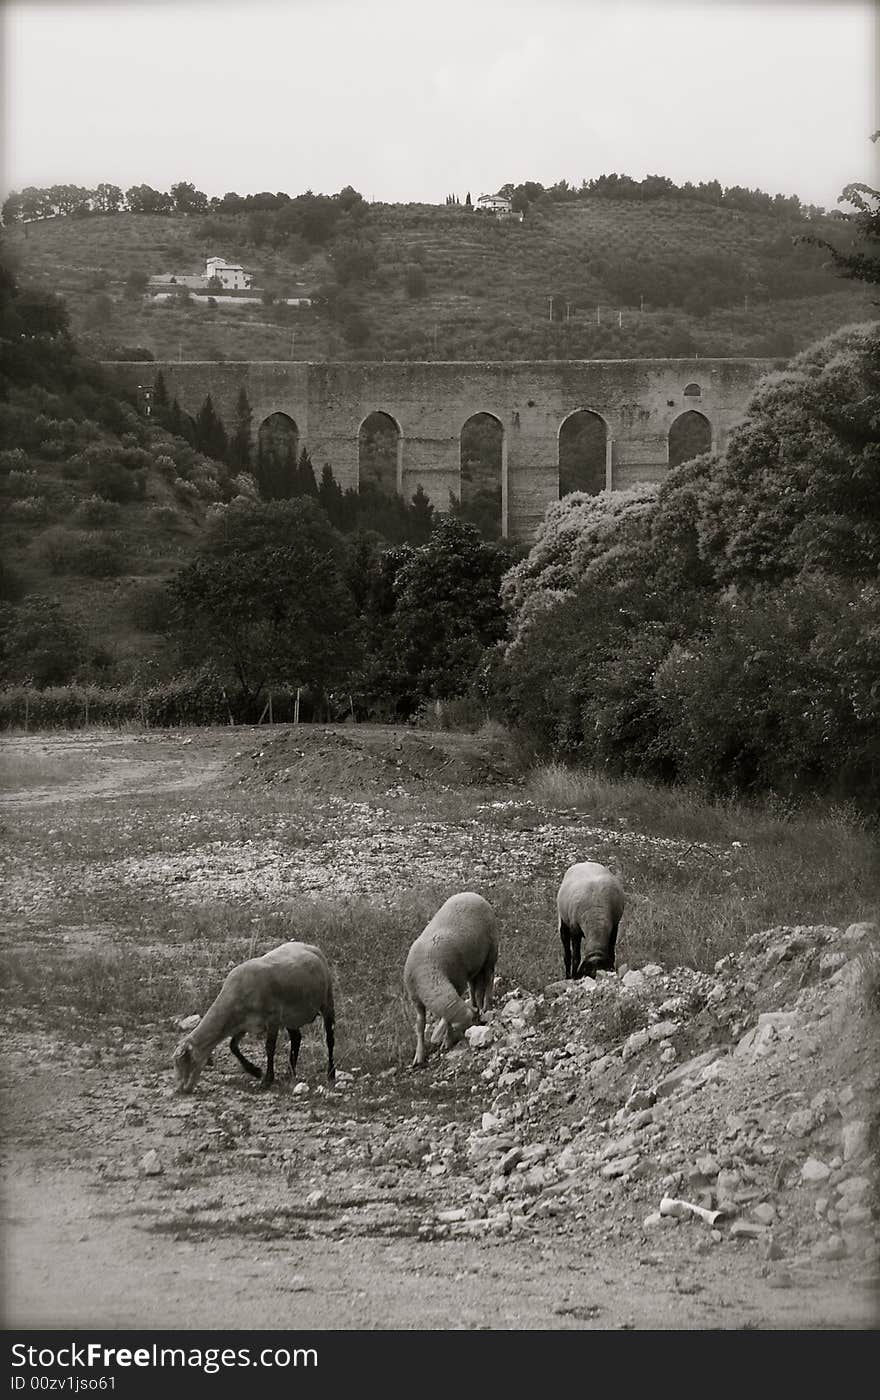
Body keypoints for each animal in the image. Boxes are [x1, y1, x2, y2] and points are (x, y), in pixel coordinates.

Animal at [170, 940, 332, 1092]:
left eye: (185, 1061)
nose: (180, 1090)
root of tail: (310, 946)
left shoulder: (272, 1018)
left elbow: (269, 1048)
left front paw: (267, 1079)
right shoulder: (244, 1024)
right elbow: (233, 1046)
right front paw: (255, 1071)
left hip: (327, 1000)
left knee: (329, 1038)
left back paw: (331, 1073)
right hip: (289, 1017)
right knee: (296, 1038)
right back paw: (290, 1073)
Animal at [402, 890, 498, 1064]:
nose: (479, 1021)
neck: (429, 971)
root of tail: (471, 893)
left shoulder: (457, 984)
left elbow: (446, 1020)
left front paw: (447, 1041)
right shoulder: (416, 999)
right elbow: (420, 1024)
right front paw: (419, 1055)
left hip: (491, 953)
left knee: (489, 979)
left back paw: (487, 1005)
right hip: (474, 967)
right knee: (474, 988)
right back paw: (476, 1003)